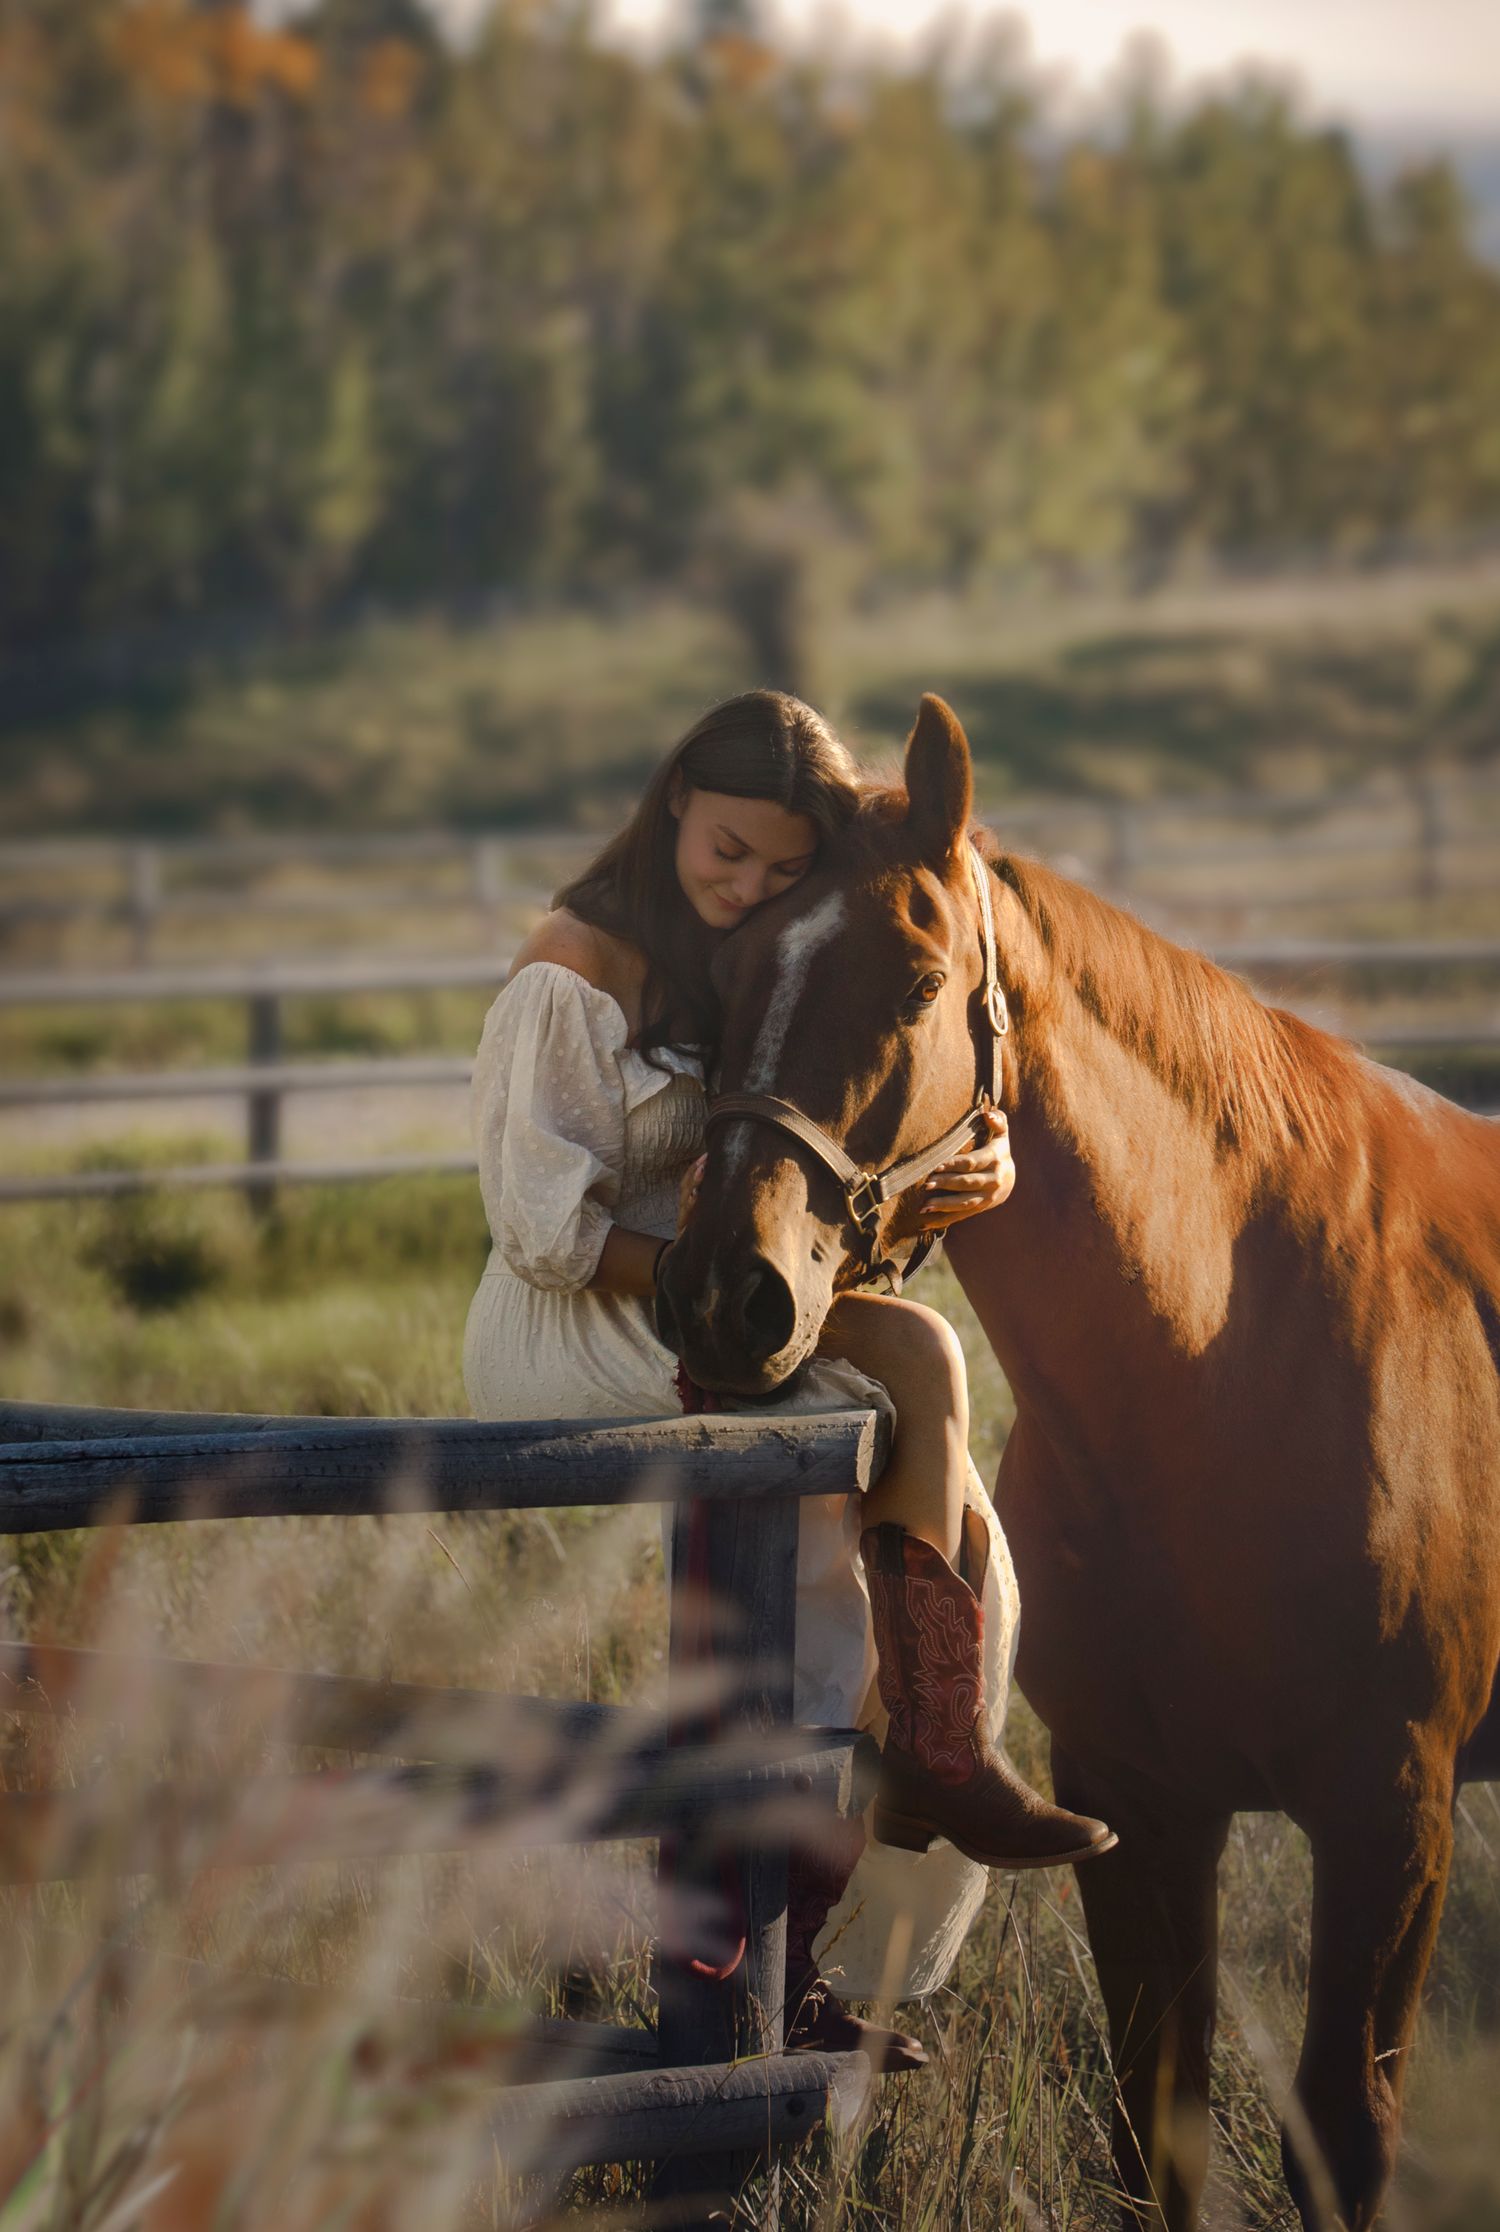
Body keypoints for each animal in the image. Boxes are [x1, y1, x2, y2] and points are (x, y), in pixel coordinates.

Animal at [655, 694, 1500, 2232]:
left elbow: (1343, 2131)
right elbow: (1150, 2128)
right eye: (729, 968)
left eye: (918, 983)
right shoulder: (1136, 1807)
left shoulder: (1392, 1817)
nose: (723, 1293)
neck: (1228, 1364)